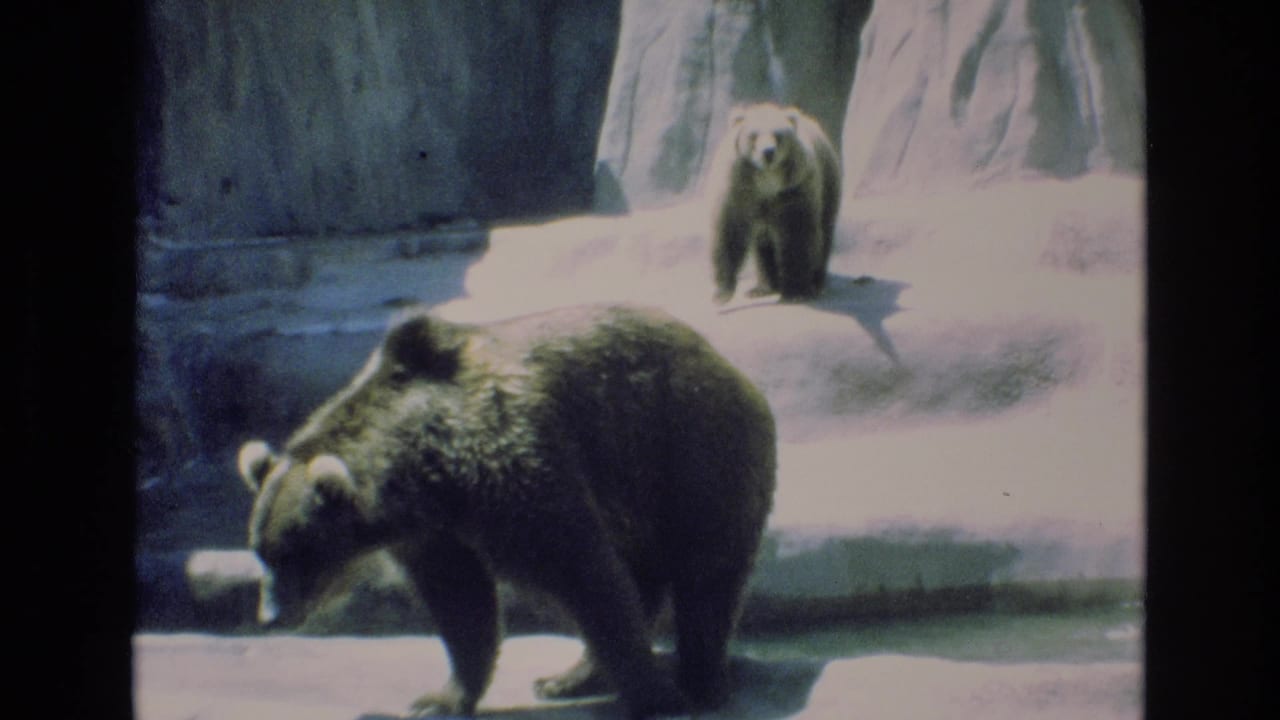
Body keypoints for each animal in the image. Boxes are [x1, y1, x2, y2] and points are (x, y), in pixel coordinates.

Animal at [236, 303, 776, 719]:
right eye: (261, 550)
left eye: (295, 551)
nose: (270, 615)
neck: (428, 467)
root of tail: (727, 364)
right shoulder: (433, 531)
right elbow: (462, 603)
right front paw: (439, 699)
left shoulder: (513, 471)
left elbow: (583, 571)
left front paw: (655, 697)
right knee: (644, 573)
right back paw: (568, 677)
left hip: (688, 452)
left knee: (706, 570)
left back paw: (702, 679)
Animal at [706, 102, 842, 304]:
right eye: (753, 135)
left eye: (778, 135)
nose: (768, 152)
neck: (767, 180)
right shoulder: (738, 189)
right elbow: (729, 231)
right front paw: (722, 293)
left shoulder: (795, 188)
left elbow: (796, 234)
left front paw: (795, 291)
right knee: (763, 245)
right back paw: (762, 287)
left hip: (828, 184)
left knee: (824, 232)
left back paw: (816, 283)